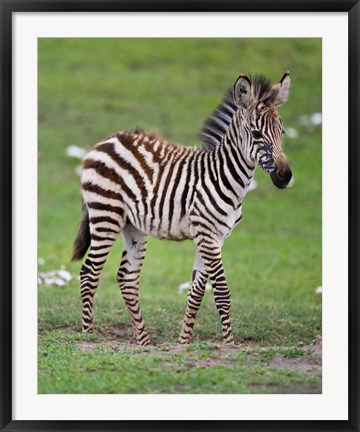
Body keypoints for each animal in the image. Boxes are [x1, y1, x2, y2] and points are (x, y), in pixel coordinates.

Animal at [72, 72, 292, 346]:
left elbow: (196, 292)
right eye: (256, 133)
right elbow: (222, 293)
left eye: (282, 132)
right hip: (105, 214)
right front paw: (229, 344)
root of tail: (107, 140)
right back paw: (87, 335)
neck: (224, 176)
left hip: (133, 226)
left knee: (127, 278)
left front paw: (183, 342)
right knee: (89, 273)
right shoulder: (207, 234)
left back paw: (144, 342)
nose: (285, 176)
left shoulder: (215, 237)